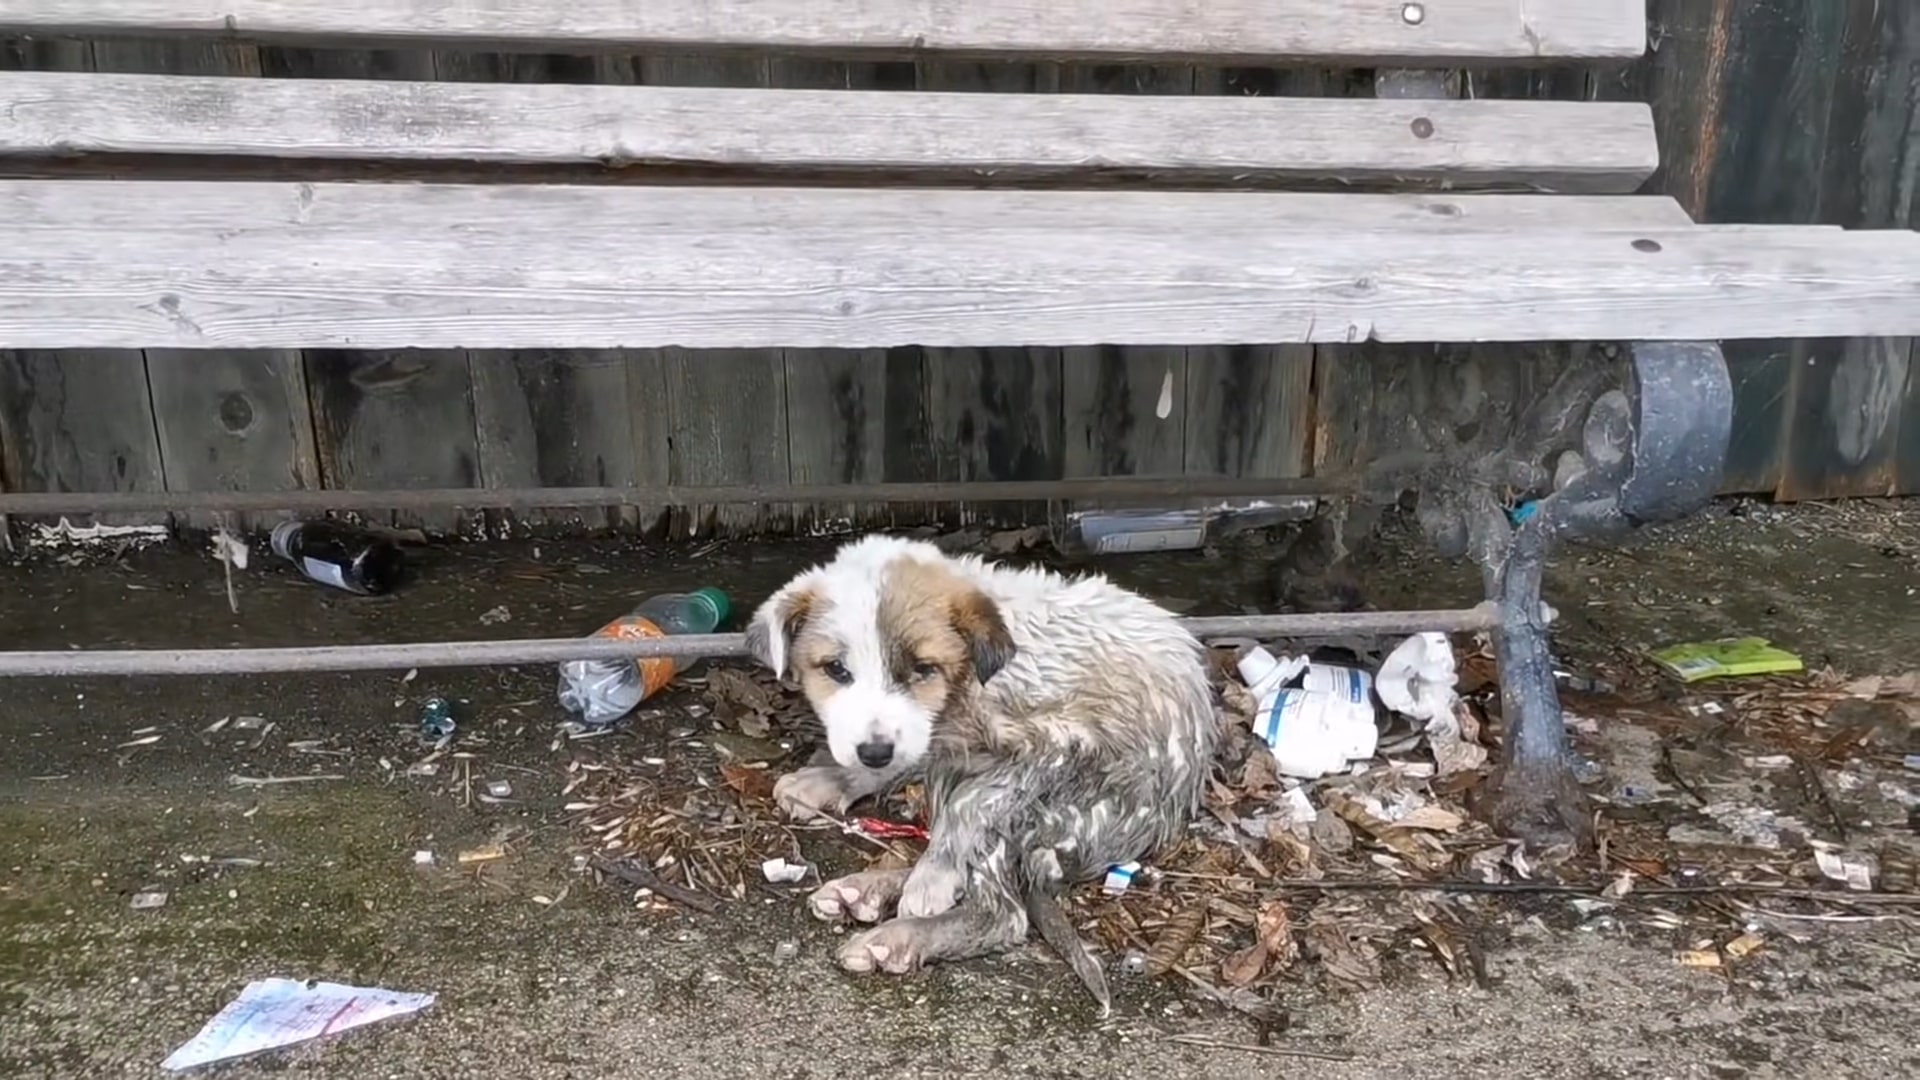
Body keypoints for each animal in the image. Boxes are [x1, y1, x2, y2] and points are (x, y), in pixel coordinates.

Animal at [744, 534, 1213, 1006]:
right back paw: (865, 891)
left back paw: (898, 933)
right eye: (836, 669)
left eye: (923, 669)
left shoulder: (1055, 745)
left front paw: (933, 876)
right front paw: (831, 777)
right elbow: (912, 755)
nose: (874, 752)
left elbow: (971, 805)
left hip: (1061, 809)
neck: (969, 683)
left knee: (1002, 910)